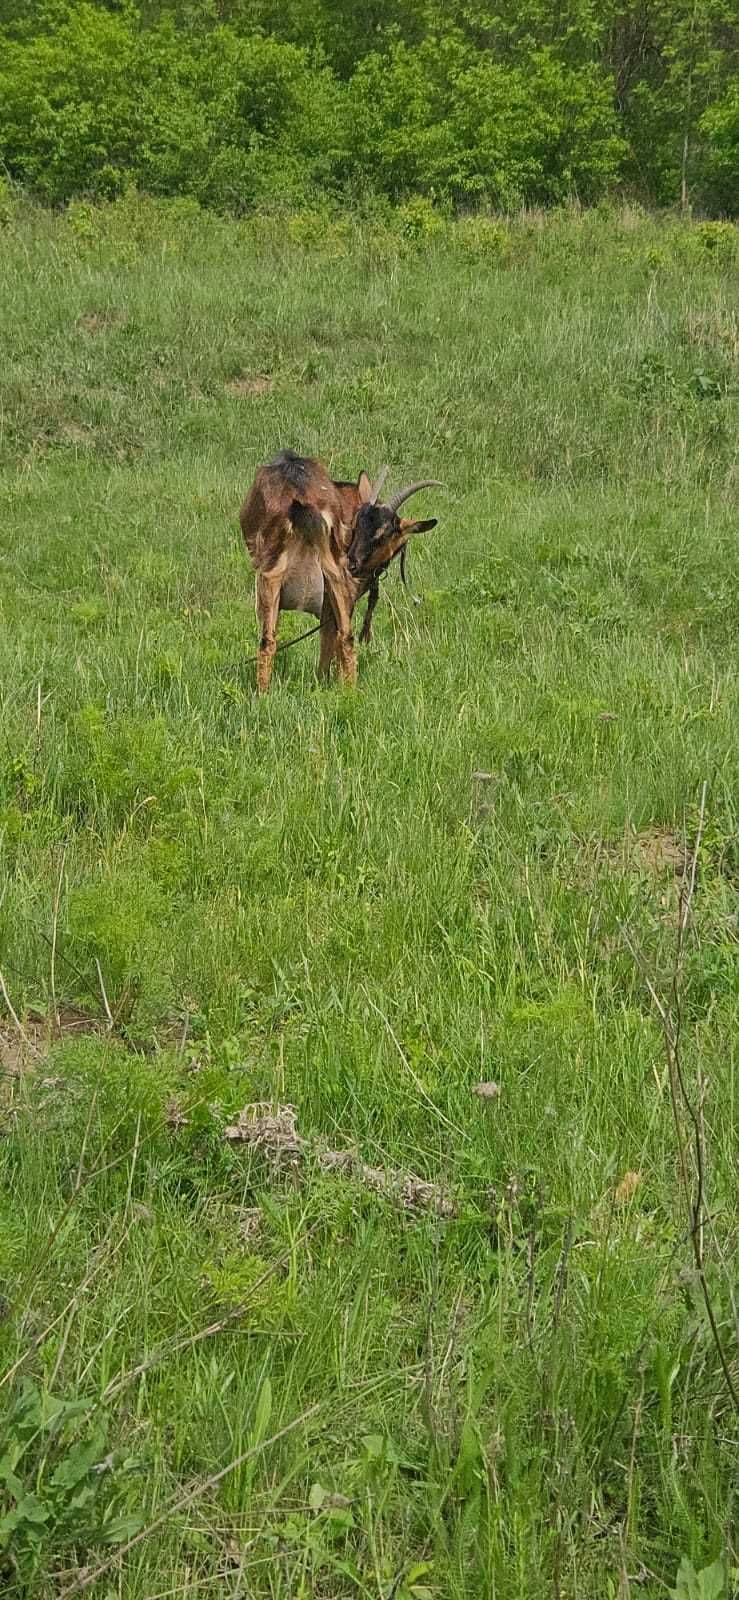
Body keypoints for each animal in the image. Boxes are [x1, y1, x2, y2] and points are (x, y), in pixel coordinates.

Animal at [241, 454, 438, 697]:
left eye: (384, 534)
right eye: (356, 523)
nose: (352, 563)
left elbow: (328, 639)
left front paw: (322, 682)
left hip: (284, 575)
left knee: (273, 640)